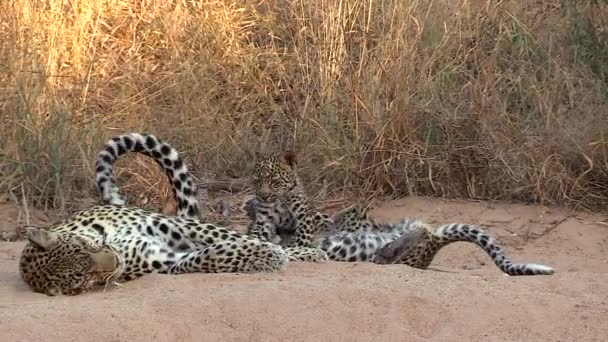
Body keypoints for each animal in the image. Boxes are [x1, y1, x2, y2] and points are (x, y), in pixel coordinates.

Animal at [246, 151, 556, 276]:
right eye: (257, 180)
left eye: (274, 180)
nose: (263, 195)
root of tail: (433, 248)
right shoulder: (266, 224)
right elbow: (264, 232)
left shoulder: (303, 221)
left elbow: (303, 227)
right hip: (405, 246)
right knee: (413, 240)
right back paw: (388, 250)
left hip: (385, 225)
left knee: (411, 230)